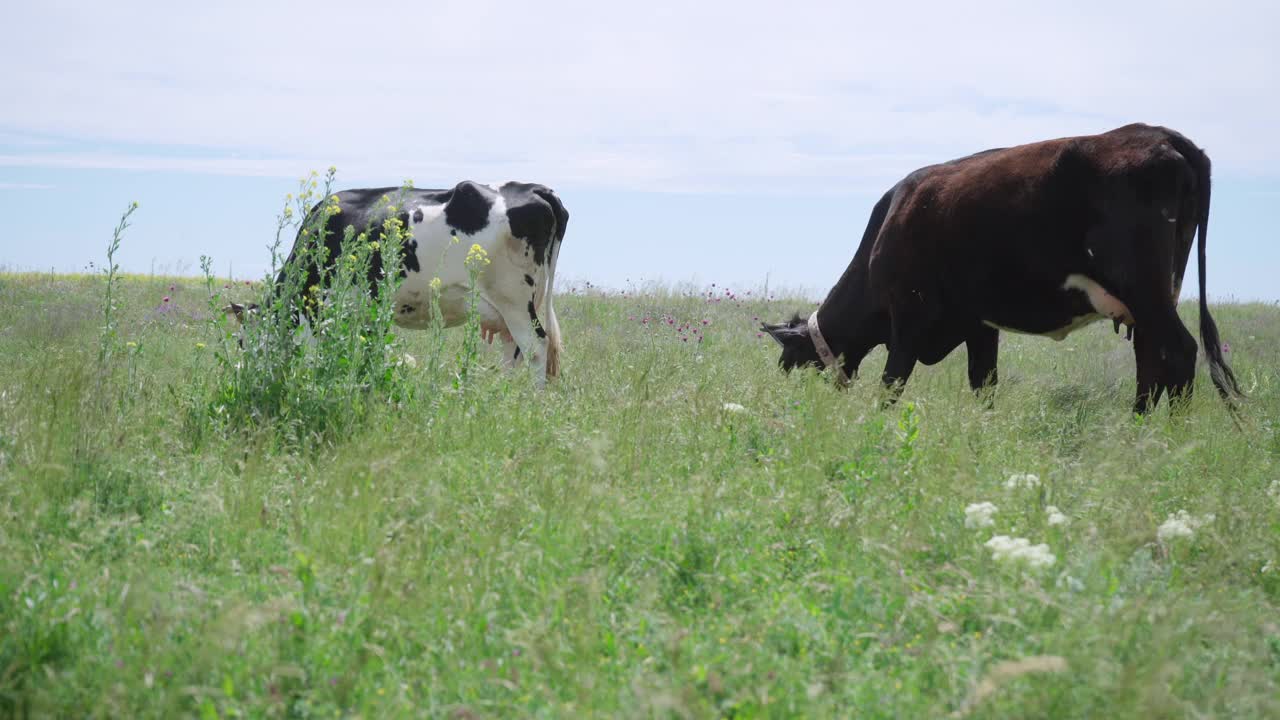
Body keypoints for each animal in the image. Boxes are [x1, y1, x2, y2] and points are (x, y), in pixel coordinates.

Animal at [235, 180, 565, 381]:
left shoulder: (317, 311)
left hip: (514, 300)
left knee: (537, 346)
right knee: (515, 351)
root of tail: (536, 188)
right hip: (511, 308)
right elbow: (369, 351)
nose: (241, 372)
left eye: (242, 341)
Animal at [768, 124, 1239, 409]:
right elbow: (984, 385)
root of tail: (1161, 135)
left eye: (788, 361)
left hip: (1143, 287)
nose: (785, 405)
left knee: (1178, 353)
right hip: (1153, 296)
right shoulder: (979, 323)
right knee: (1152, 363)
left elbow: (892, 383)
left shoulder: (908, 316)